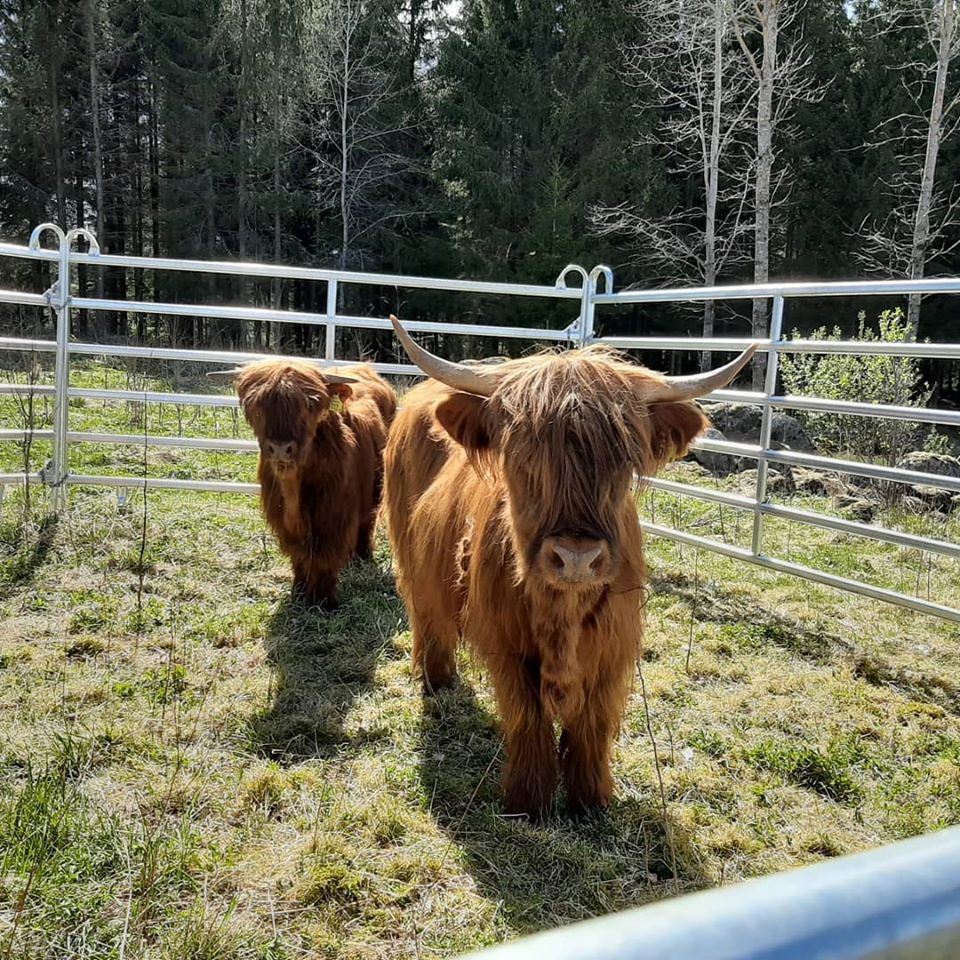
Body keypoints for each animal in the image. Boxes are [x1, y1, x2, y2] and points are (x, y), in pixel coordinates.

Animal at [209, 360, 396, 609]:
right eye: (257, 406)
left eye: (309, 405)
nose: (280, 449)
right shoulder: (281, 518)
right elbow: (298, 555)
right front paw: (298, 590)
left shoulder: (333, 515)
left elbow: (325, 557)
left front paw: (323, 599)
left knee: (367, 521)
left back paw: (361, 557)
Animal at [383, 315, 755, 816]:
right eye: (522, 459)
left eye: (624, 460)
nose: (576, 557)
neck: (562, 613)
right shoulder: (507, 644)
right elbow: (527, 716)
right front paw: (528, 798)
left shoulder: (615, 645)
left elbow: (592, 723)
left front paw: (590, 798)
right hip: (408, 552)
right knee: (425, 611)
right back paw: (434, 679)